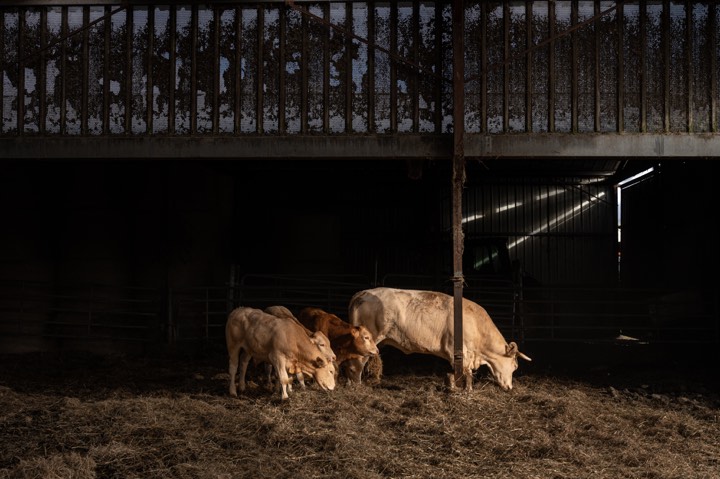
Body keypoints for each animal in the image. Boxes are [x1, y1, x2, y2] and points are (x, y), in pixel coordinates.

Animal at [347, 287, 531, 391]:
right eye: (515, 366)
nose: (510, 387)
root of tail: (362, 293)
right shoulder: (459, 351)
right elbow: (466, 373)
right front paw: (465, 390)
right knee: (358, 362)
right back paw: (356, 384)